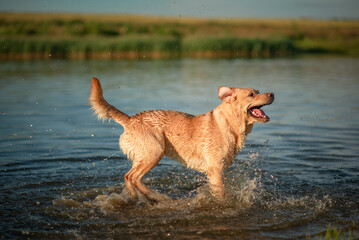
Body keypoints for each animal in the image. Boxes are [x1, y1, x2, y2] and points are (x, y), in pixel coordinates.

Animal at [90, 78, 276, 202]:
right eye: (251, 94)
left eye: (258, 91)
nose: (272, 93)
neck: (231, 124)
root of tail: (130, 119)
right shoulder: (215, 168)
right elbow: (220, 193)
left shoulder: (220, 168)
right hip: (155, 152)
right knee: (133, 177)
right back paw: (154, 196)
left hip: (143, 155)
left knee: (128, 176)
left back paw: (137, 196)